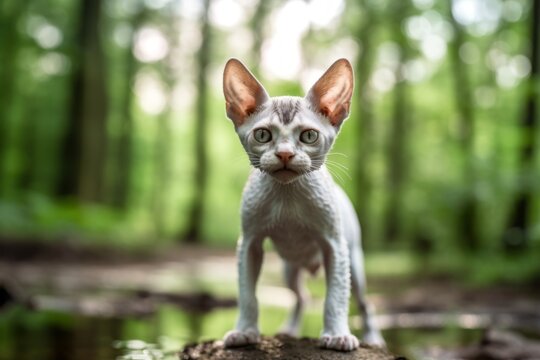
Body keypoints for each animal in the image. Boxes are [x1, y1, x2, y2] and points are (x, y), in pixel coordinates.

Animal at [220, 57, 384, 350]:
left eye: (309, 136)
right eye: (262, 135)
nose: (285, 154)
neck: (287, 195)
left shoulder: (335, 246)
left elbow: (336, 297)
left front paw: (337, 335)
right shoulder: (249, 243)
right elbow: (247, 294)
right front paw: (245, 331)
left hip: (354, 262)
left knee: (365, 303)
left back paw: (373, 338)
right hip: (289, 269)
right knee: (301, 297)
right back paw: (290, 331)